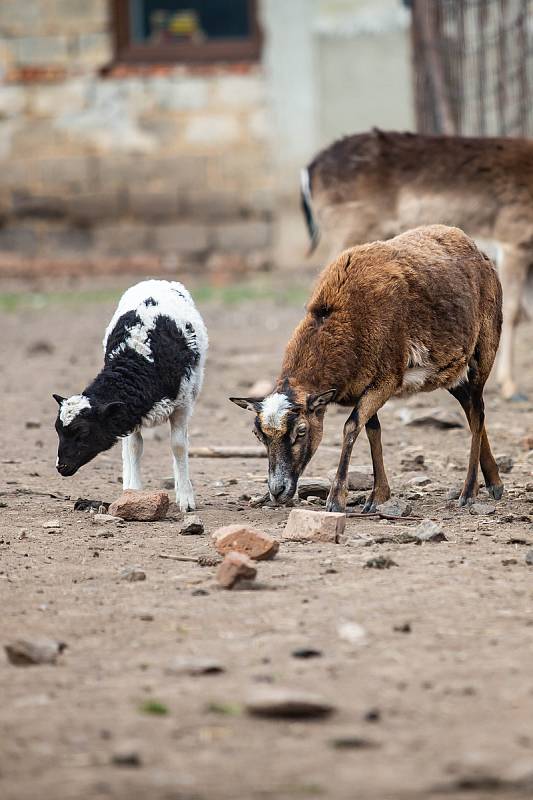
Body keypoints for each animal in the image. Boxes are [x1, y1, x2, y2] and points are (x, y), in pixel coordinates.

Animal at [51, 278, 206, 510]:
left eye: (83, 431)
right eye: (57, 430)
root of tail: (156, 281)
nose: (61, 467)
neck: (139, 355)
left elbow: (178, 446)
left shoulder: (182, 405)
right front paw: (134, 494)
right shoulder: (130, 412)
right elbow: (133, 447)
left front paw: (186, 498)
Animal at [230, 225, 502, 512]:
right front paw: (378, 495)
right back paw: (494, 482)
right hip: (450, 371)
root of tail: (477, 249)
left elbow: (351, 427)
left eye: (301, 431)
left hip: (484, 350)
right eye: (258, 435)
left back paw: (469, 491)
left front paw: (336, 500)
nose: (277, 491)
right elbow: (373, 431)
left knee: (477, 413)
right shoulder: (363, 385)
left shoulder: (387, 380)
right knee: (471, 408)